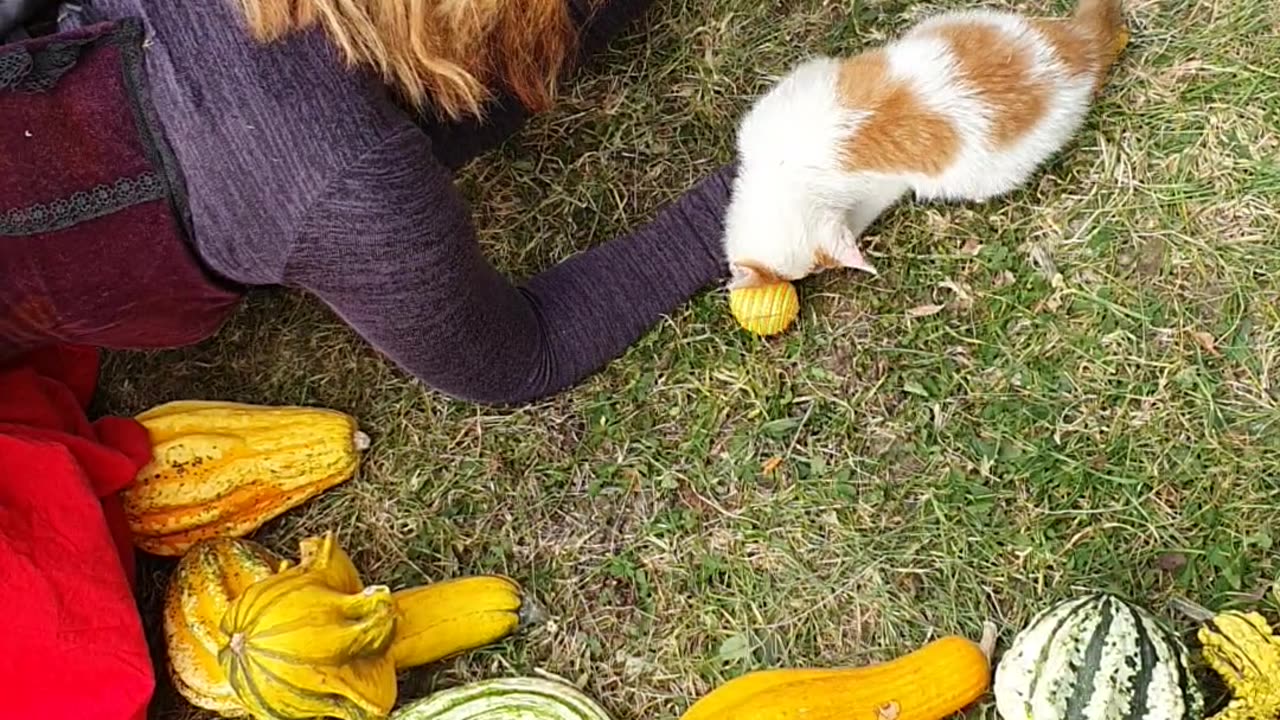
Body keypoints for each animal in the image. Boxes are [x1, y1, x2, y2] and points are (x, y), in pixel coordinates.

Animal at [727, 0, 1126, 285]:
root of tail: (1079, 49)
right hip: (952, 22)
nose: (815, 276)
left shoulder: (877, 190)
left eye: (809, 273)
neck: (785, 170)